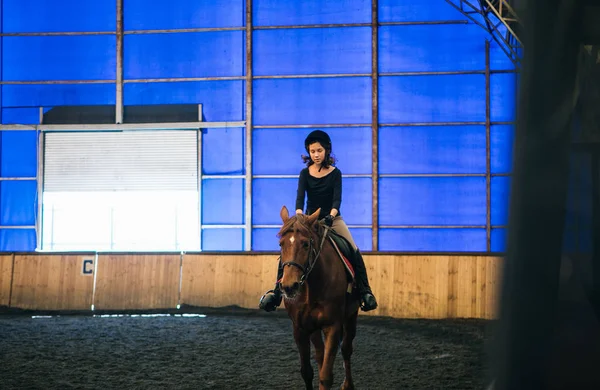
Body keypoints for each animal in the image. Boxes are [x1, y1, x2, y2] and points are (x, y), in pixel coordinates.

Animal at [278, 206, 360, 388]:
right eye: (281, 244)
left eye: (306, 244)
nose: (289, 286)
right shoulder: (300, 328)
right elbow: (307, 372)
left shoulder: (333, 326)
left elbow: (326, 376)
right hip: (313, 328)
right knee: (320, 353)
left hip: (351, 316)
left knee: (346, 349)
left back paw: (348, 384)